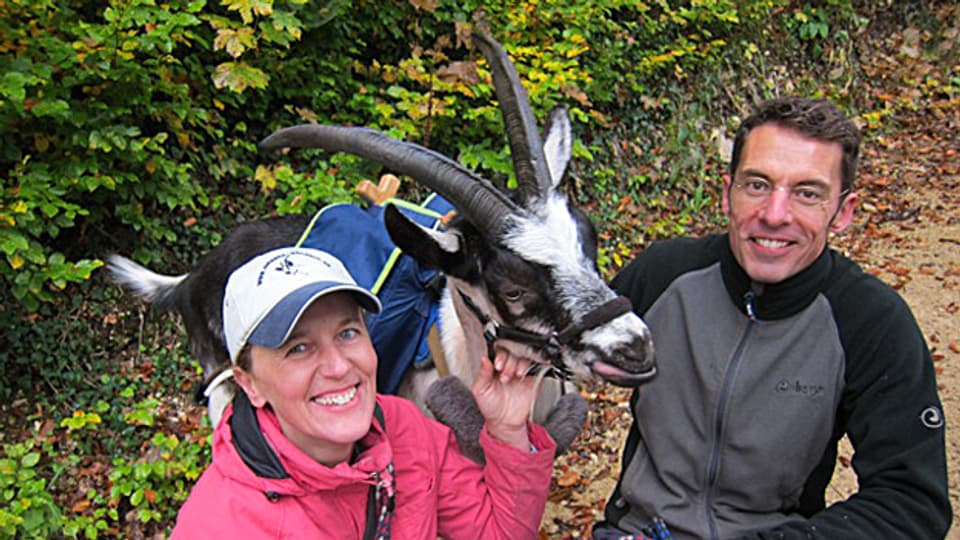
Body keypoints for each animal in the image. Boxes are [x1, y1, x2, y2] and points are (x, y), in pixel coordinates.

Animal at [107, 30, 660, 460]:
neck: (449, 352)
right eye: (513, 290)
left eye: (589, 245)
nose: (635, 347)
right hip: (224, 379)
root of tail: (194, 277)